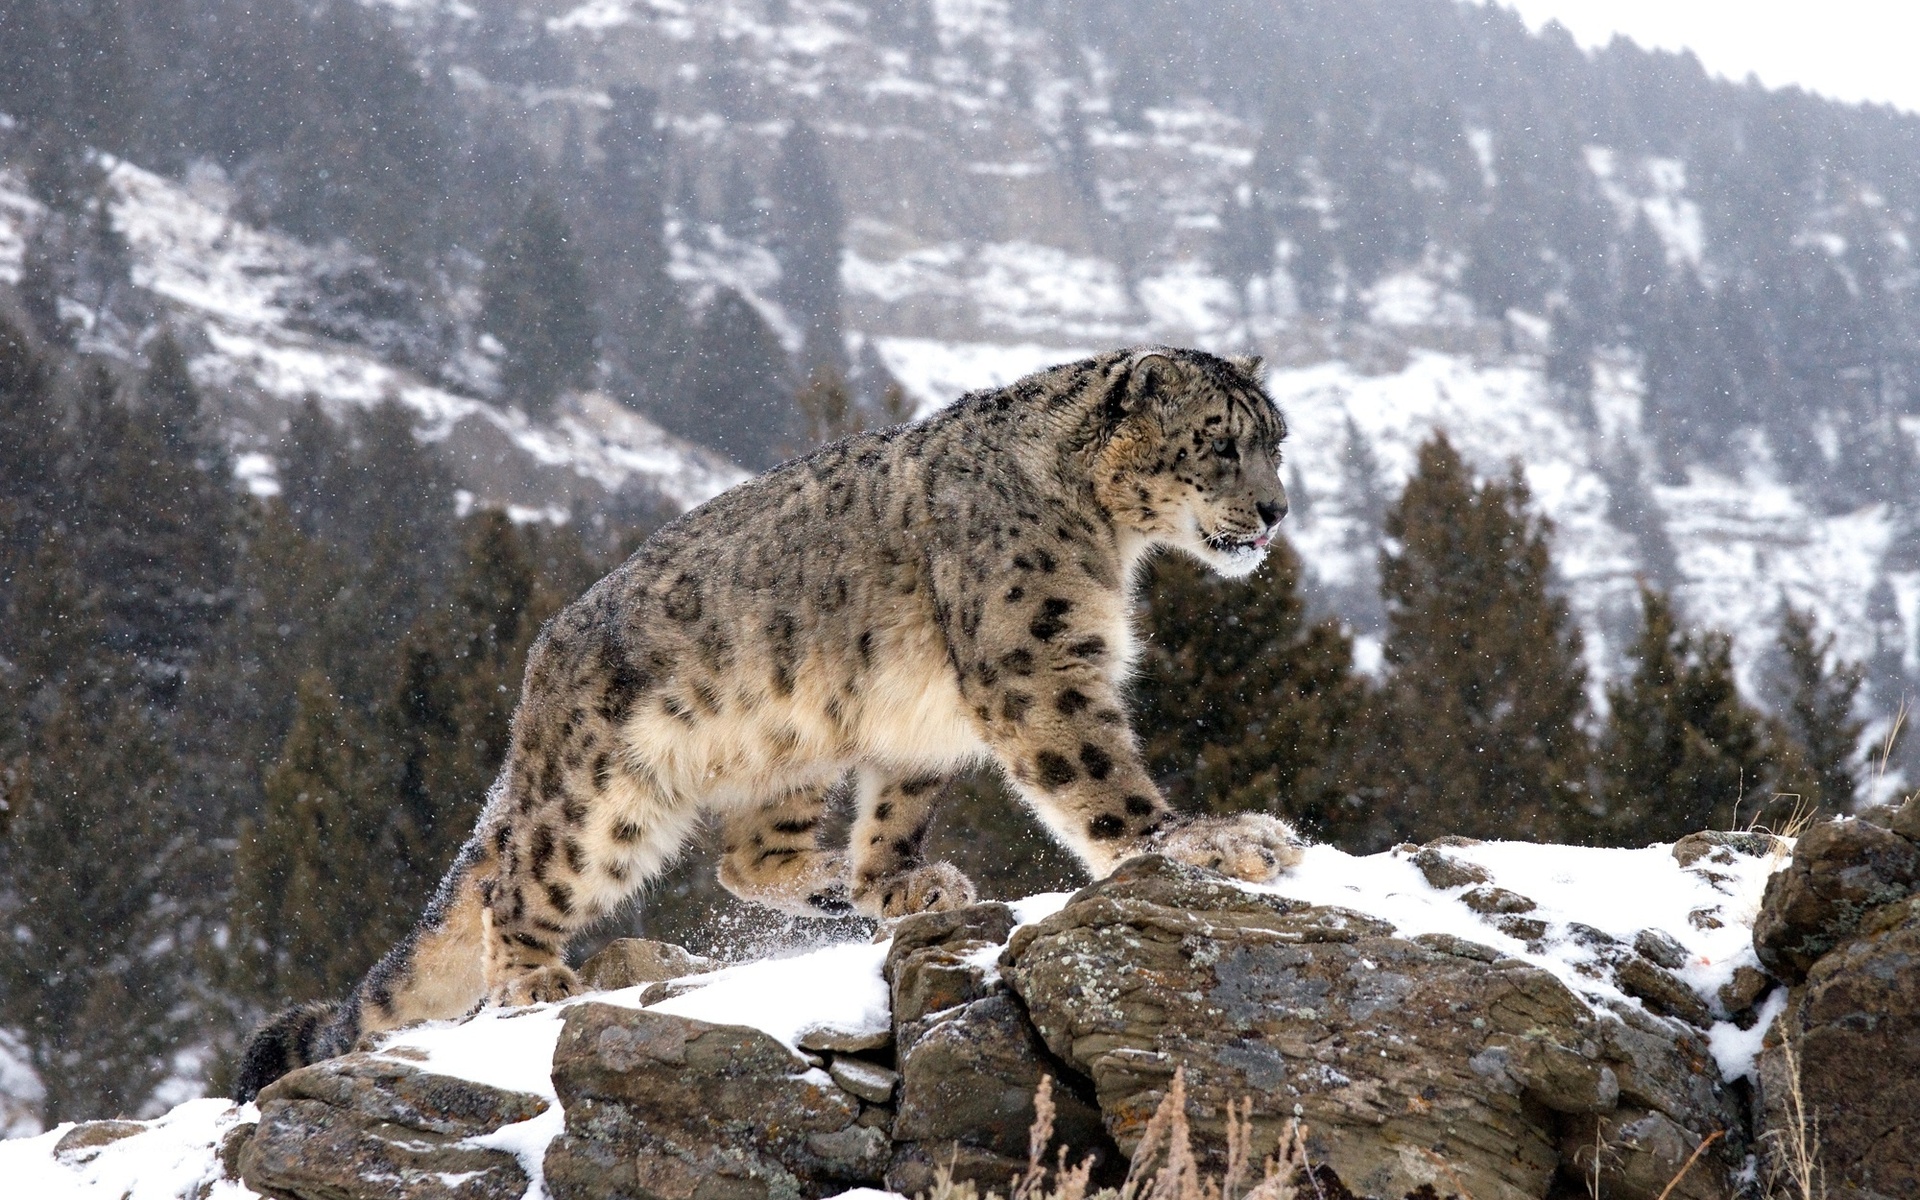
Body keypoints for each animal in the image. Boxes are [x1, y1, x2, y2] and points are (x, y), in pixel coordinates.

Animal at [235, 345, 1304, 1100]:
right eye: (1219, 441)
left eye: (1277, 441)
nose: (1276, 509)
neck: (1110, 543)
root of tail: (538, 671)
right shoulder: (1035, 663)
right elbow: (1100, 778)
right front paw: (1209, 840)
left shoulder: (924, 721)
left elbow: (898, 806)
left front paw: (898, 882)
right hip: (598, 799)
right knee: (518, 879)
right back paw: (537, 980)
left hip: (791, 747)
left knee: (743, 857)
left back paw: (832, 882)